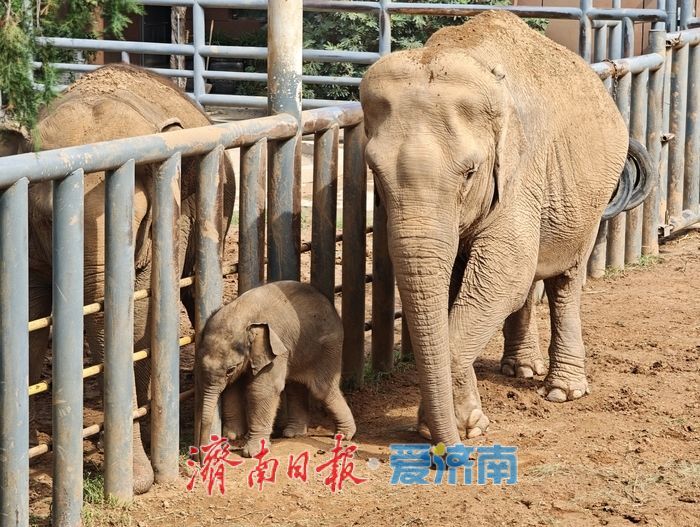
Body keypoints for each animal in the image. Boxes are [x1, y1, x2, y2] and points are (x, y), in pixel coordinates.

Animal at [0, 64, 236, 493]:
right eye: (48, 222)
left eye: (135, 223)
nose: (141, 483)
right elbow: (29, 318)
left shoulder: (164, 228)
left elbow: (140, 322)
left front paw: (136, 478)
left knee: (195, 294)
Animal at [194, 280, 356, 458]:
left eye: (230, 369)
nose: (201, 460)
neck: (243, 314)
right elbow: (232, 387)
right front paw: (232, 435)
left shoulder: (276, 350)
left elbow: (262, 389)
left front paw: (252, 452)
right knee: (294, 386)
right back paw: (293, 433)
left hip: (329, 347)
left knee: (321, 389)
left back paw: (344, 435)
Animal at [359, 11, 637, 445]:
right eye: (374, 170)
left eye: (470, 172)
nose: (449, 452)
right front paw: (454, 424)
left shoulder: (520, 171)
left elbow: (504, 271)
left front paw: (466, 427)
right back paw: (521, 369)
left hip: (591, 199)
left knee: (564, 281)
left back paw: (561, 391)